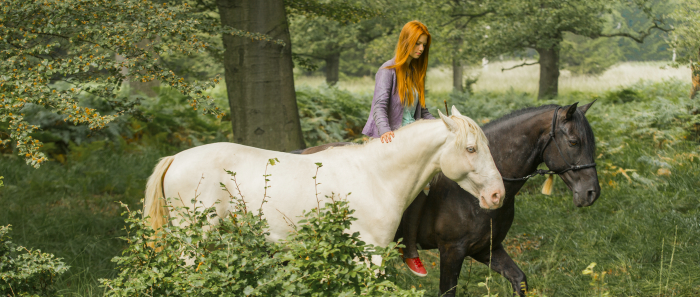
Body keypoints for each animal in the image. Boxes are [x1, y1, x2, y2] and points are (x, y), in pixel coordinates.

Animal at [292, 101, 600, 294]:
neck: (472, 193)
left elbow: (519, 280)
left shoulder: (486, 249)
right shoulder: (452, 251)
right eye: (574, 142)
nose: (591, 193)